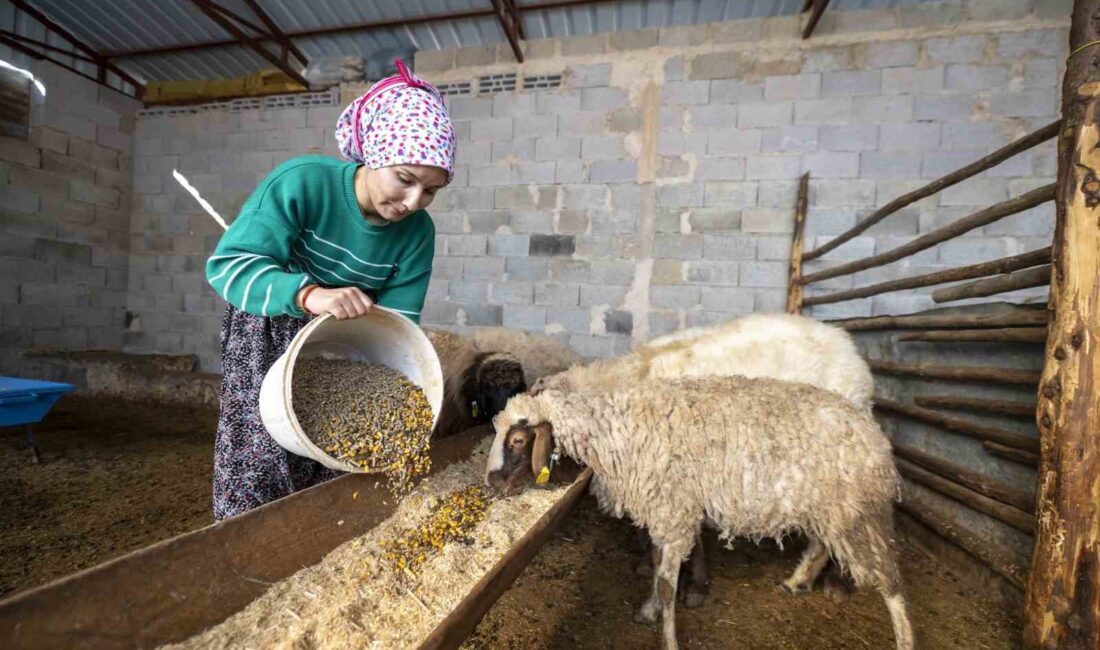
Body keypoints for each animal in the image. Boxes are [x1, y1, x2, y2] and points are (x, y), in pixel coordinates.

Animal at [488, 376, 910, 650]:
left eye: (519, 440)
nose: (492, 482)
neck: (617, 431)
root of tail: (875, 434)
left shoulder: (674, 512)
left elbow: (666, 582)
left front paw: (668, 638)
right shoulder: (664, 512)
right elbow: (656, 566)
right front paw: (650, 610)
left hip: (859, 512)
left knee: (890, 583)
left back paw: (904, 637)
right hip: (828, 507)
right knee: (821, 546)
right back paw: (797, 581)